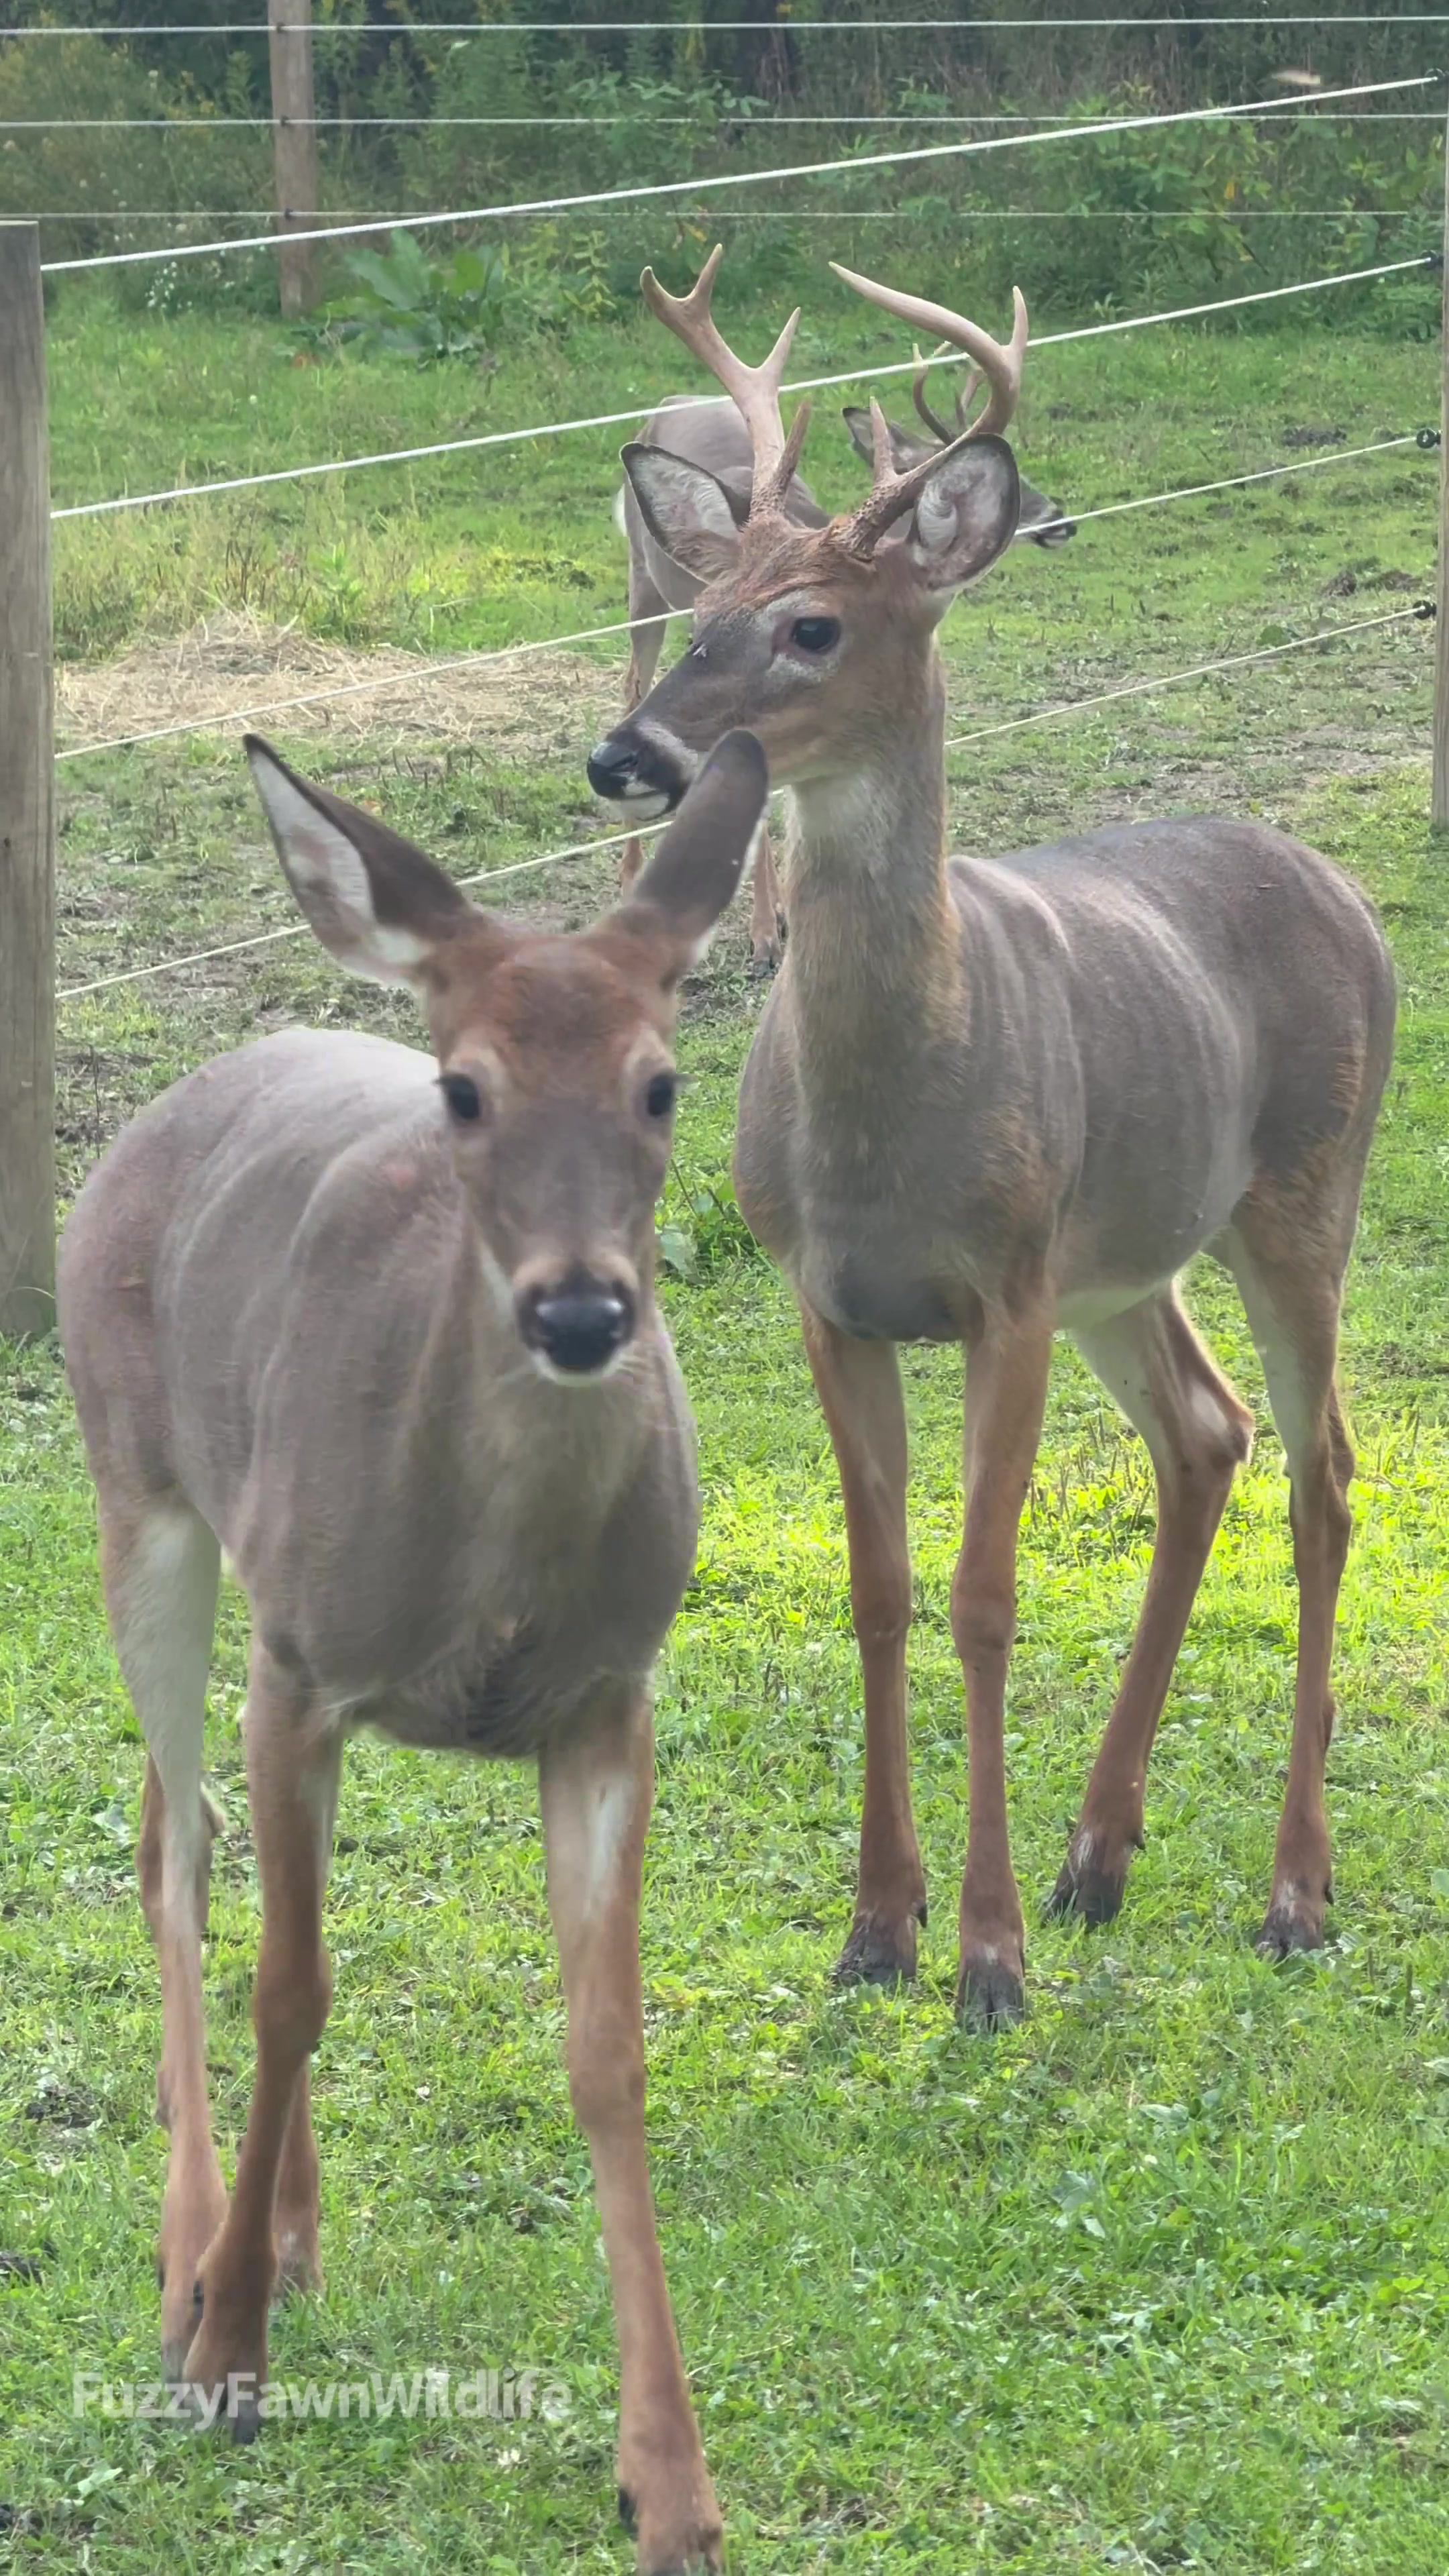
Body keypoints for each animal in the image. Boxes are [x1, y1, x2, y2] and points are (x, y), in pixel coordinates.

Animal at [56, 726, 771, 2576]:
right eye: (461, 1091)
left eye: (664, 1083)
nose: (580, 1310)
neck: (490, 1583)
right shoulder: (299, 1662)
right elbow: (288, 1982)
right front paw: (225, 2357)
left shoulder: (608, 1696)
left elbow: (607, 2048)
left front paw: (670, 2479)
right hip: (140, 1495)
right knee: (175, 1847)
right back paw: (195, 2252)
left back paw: (283, 2228)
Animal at [613, 268, 1073, 974]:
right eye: (708, 614)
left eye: (808, 629)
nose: (1063, 520)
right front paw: (764, 936)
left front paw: (775, 919)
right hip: (641, 585)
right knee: (630, 681)